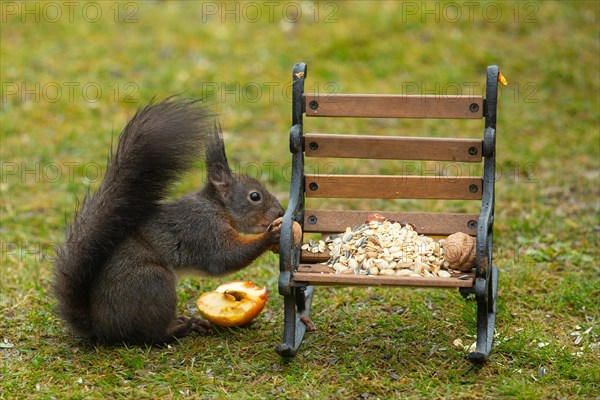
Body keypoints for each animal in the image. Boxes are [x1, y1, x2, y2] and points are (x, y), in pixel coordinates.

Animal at [53, 98, 284, 346]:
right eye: (255, 196)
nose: (281, 212)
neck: (217, 208)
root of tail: (100, 328)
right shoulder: (202, 229)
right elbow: (225, 256)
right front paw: (270, 236)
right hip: (153, 282)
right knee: (149, 335)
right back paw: (183, 327)